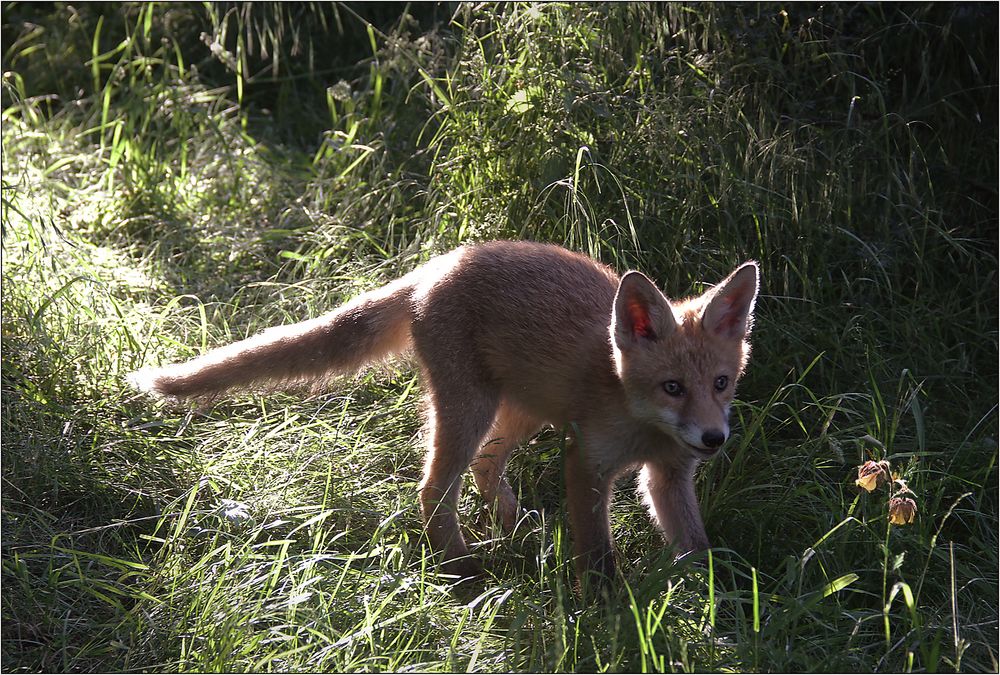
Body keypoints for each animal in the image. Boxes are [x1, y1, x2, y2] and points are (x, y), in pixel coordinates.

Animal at [131, 242, 756, 588]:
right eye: (672, 387)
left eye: (721, 384)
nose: (715, 439)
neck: (636, 418)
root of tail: (438, 264)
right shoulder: (587, 464)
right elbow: (597, 556)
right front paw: (607, 613)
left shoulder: (667, 474)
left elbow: (695, 545)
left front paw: (711, 609)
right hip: (470, 411)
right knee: (433, 491)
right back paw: (463, 573)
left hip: (520, 412)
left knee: (484, 468)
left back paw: (513, 528)